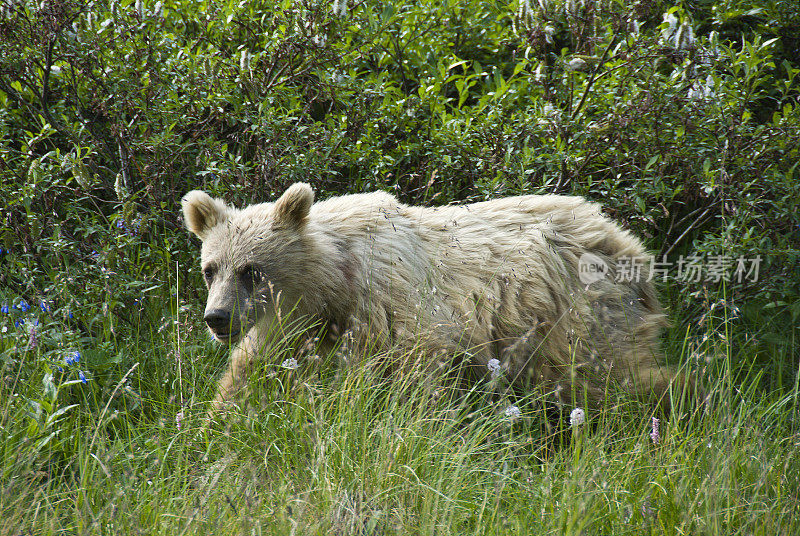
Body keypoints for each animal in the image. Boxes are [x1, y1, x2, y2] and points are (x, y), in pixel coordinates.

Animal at [183, 184, 688, 414]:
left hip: (574, 312)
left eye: (252, 271)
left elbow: (417, 371)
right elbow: (249, 372)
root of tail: (625, 241)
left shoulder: (395, 305)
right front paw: (214, 423)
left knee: (613, 371)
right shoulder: (297, 327)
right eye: (211, 268)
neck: (335, 283)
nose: (217, 318)